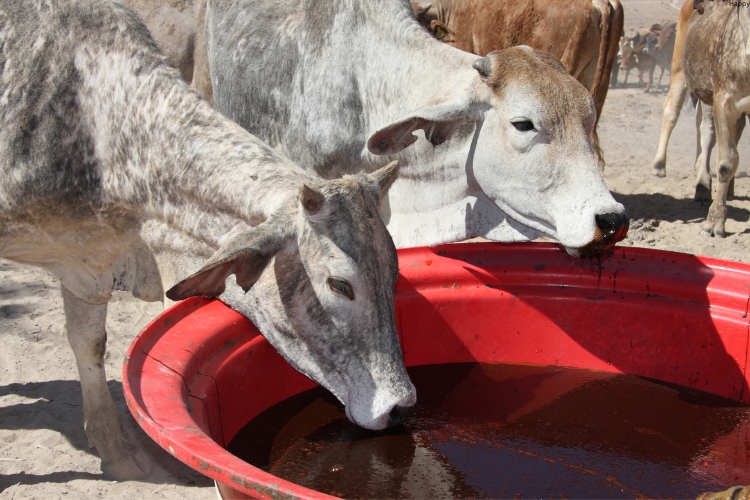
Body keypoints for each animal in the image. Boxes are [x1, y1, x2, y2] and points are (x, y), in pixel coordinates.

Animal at [0, 0, 418, 482]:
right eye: (339, 284)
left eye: (394, 272)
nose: (400, 406)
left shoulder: (90, 261)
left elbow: (90, 343)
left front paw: (118, 454)